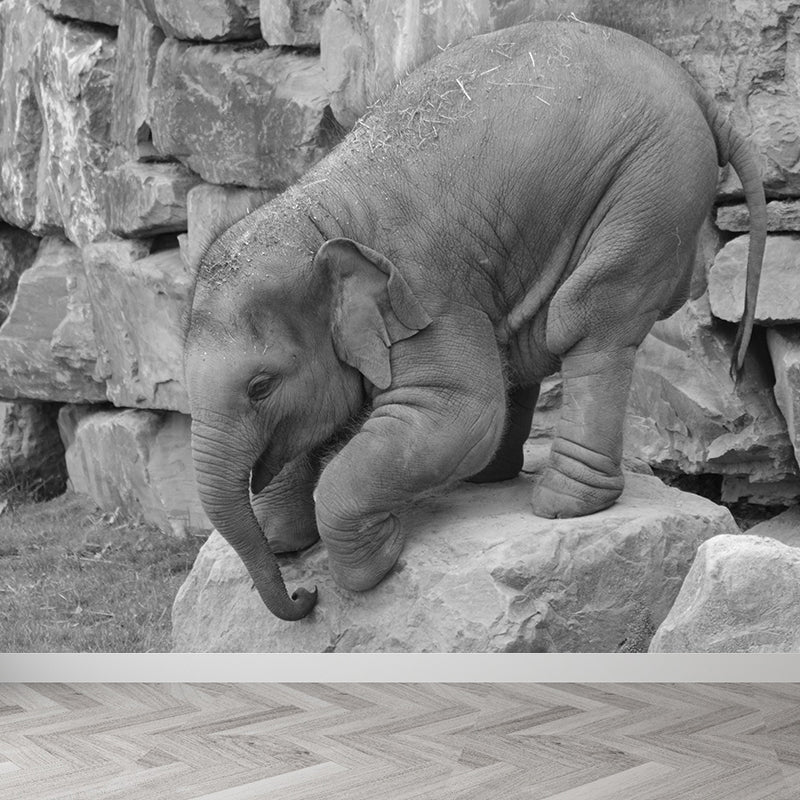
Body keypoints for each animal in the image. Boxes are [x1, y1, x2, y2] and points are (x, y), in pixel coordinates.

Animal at [184, 20, 765, 621]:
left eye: (260, 386)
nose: (304, 595)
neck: (315, 215)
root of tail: (695, 87)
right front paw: (284, 540)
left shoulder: (424, 292)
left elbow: (457, 412)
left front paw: (379, 554)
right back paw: (492, 479)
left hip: (652, 186)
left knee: (589, 318)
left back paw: (563, 505)